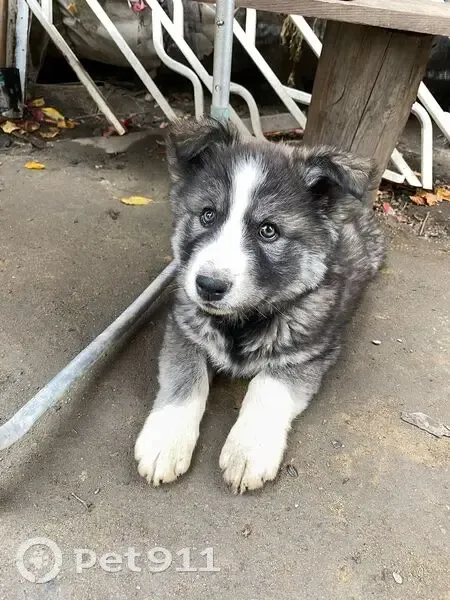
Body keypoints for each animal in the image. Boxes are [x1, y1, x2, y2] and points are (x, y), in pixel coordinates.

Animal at [134, 118, 384, 493]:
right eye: (207, 215)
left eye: (269, 230)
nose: (208, 286)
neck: (241, 320)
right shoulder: (184, 329)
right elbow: (186, 377)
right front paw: (166, 441)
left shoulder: (308, 350)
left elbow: (266, 387)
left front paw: (248, 449)